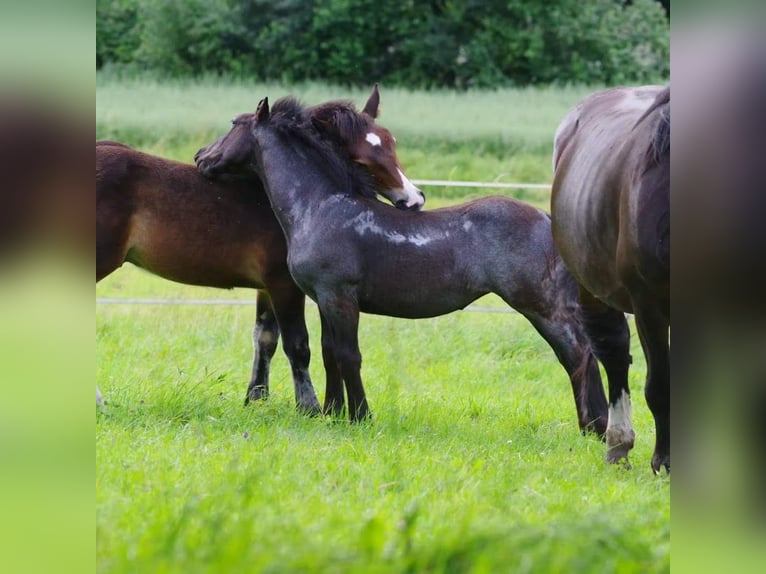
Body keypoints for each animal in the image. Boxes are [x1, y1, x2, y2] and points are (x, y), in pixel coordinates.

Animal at [96, 85, 426, 412]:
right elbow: (297, 344)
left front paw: (255, 398)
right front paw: (308, 407)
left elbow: (265, 338)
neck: (298, 199)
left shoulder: (266, 288)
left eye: (391, 142)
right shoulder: (284, 284)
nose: (414, 199)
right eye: (360, 161)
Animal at [195, 95, 608, 436]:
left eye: (234, 124)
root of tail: (548, 220)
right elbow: (330, 354)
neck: (321, 206)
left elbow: (349, 355)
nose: (201, 157)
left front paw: (360, 416)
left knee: (578, 356)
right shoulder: (324, 299)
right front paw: (333, 412)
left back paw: (596, 428)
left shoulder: (339, 297)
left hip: (541, 307)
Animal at [552, 85, 672, 472]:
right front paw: (665, 461)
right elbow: (660, 384)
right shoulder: (649, 305)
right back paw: (619, 443)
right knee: (615, 354)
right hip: (592, 289)